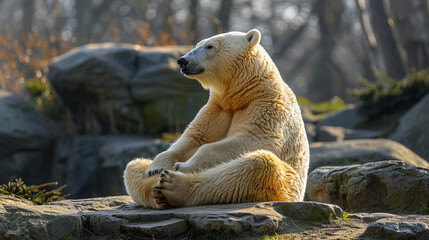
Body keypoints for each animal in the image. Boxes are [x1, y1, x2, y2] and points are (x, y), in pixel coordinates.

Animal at [123, 29, 308, 210]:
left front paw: (183, 166)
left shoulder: (268, 105)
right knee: (133, 166)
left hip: (289, 184)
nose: (182, 61)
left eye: (209, 46)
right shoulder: (218, 108)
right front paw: (156, 167)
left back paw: (172, 185)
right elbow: (195, 136)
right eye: (197, 44)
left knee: (260, 166)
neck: (247, 92)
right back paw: (156, 186)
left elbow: (256, 139)